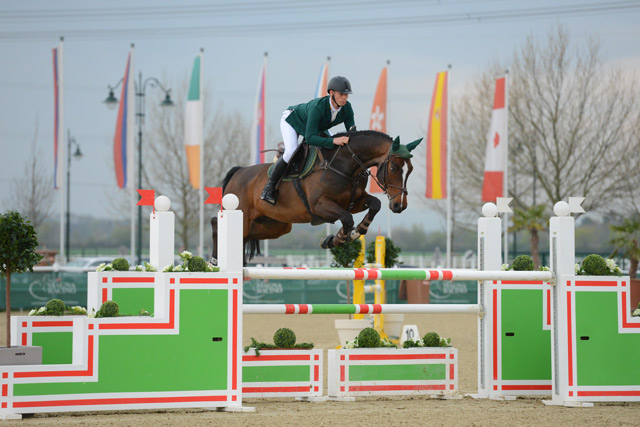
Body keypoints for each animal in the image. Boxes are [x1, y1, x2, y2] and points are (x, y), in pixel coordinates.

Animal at [211, 130, 420, 264]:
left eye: (410, 170)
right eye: (394, 168)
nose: (399, 205)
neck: (344, 164)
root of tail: (238, 172)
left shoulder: (353, 202)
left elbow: (374, 204)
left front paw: (355, 232)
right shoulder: (320, 205)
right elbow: (346, 218)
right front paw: (335, 239)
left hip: (275, 226)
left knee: (245, 236)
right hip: (241, 213)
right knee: (216, 223)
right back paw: (214, 260)